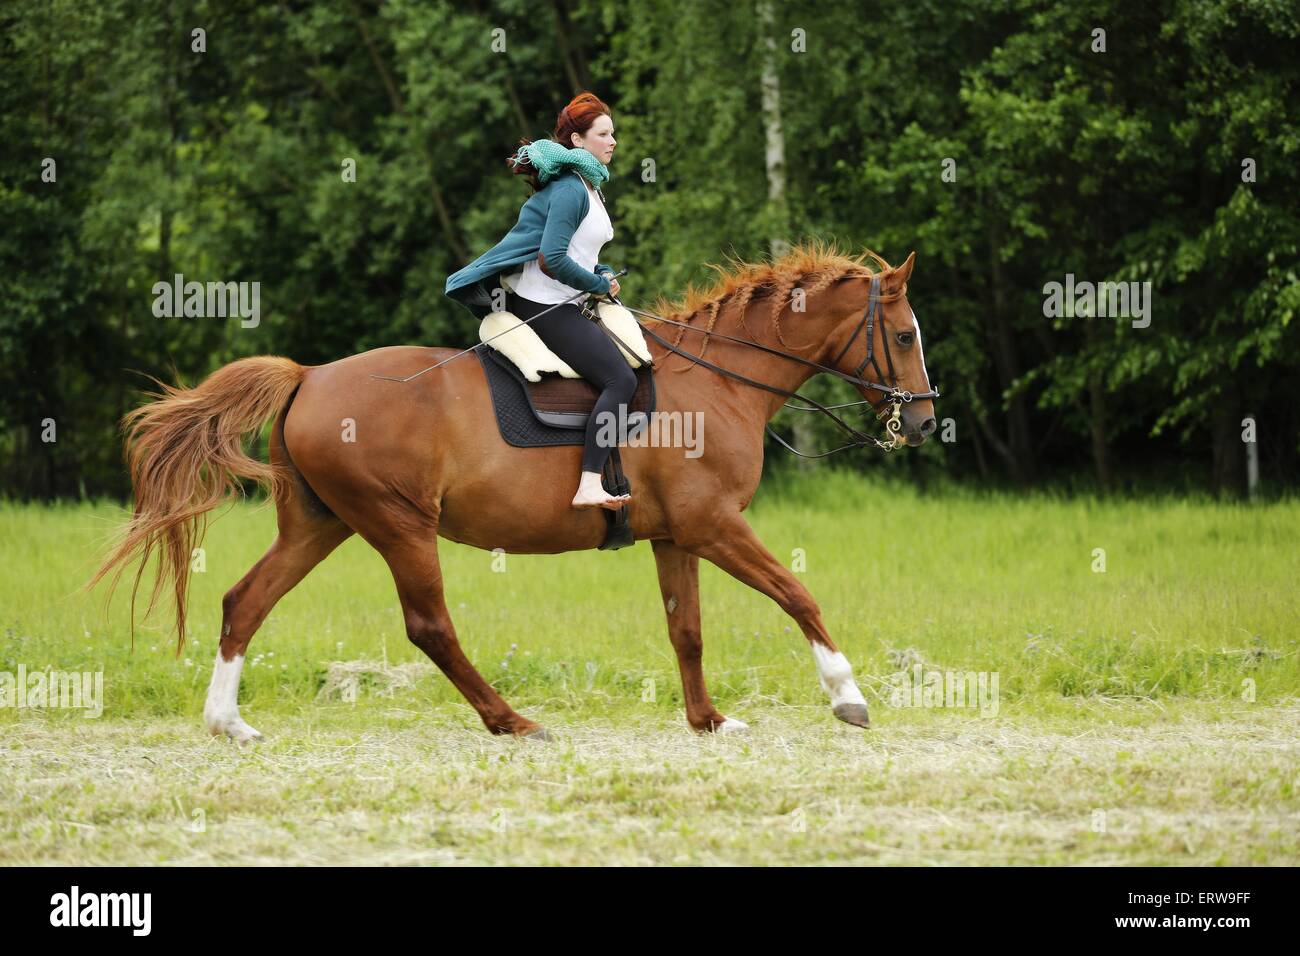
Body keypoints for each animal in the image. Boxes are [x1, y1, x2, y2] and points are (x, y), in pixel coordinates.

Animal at [89, 244, 935, 738]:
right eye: (903, 336)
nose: (925, 421)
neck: (719, 380)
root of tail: (310, 376)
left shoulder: (677, 535)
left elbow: (686, 630)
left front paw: (706, 719)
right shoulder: (715, 525)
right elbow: (798, 596)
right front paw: (846, 696)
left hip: (321, 525)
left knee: (246, 601)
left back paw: (226, 722)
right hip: (399, 525)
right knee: (430, 626)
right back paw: (511, 719)